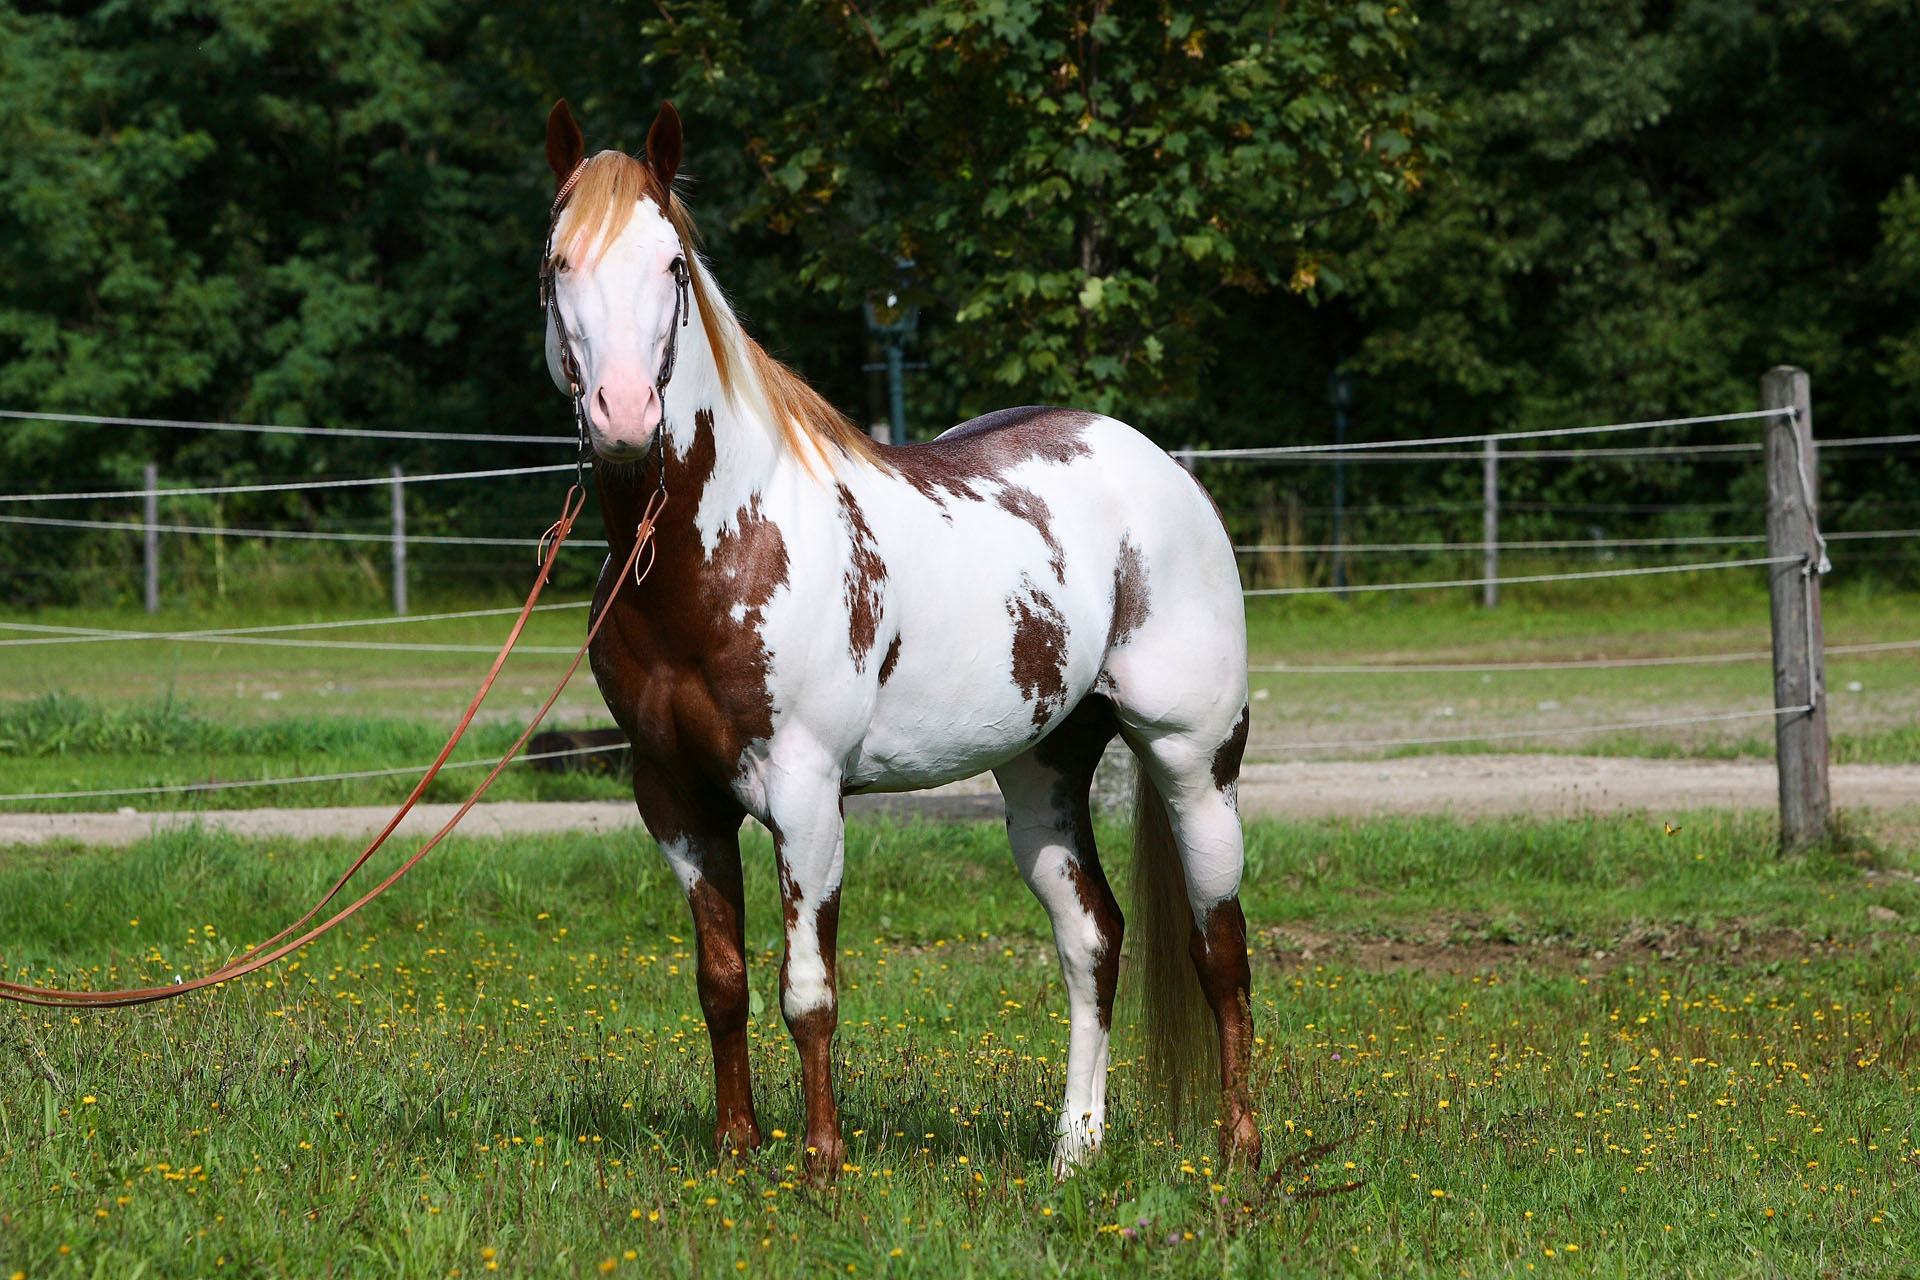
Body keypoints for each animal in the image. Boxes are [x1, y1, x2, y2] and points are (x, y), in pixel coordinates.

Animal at [541, 99, 1258, 1180]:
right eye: (558, 263)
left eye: (672, 266)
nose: (623, 414)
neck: (716, 556)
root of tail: (1161, 469)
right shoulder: (674, 797)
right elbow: (722, 982)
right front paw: (737, 1154)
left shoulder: (804, 793)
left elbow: (808, 990)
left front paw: (821, 1167)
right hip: (1043, 771)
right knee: (1093, 937)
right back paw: (1073, 1152)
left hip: (1194, 761)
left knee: (1221, 949)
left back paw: (1242, 1154)